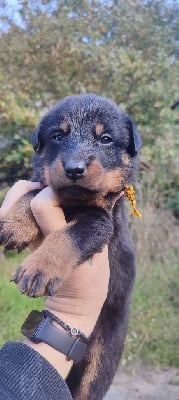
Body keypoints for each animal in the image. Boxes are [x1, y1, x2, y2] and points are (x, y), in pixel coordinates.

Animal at [0, 94, 141, 400]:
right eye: (58, 136)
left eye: (105, 139)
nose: (74, 169)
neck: (75, 201)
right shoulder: (44, 186)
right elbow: (32, 193)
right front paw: (14, 224)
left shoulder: (101, 221)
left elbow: (69, 236)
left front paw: (39, 268)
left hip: (101, 358)